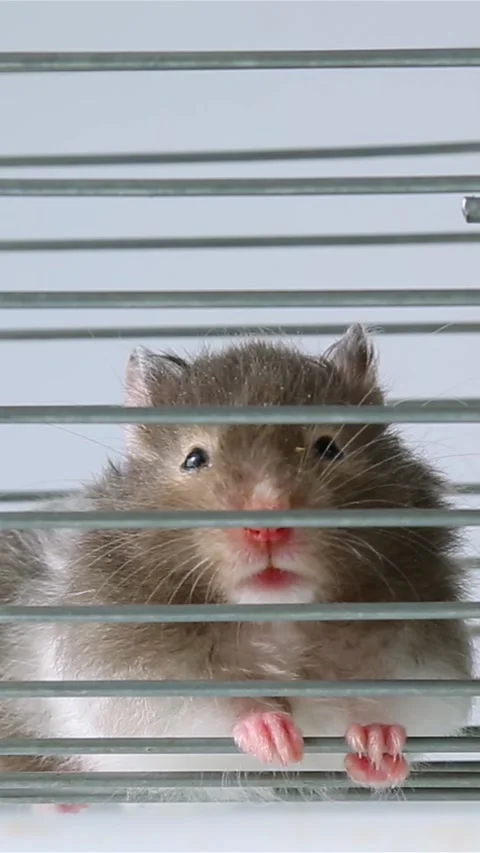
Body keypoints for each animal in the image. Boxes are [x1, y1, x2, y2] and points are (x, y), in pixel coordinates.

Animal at [0, 325, 473, 804]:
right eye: (194, 458)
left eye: (329, 448)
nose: (268, 527)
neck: (279, 619)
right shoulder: (127, 683)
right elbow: (218, 707)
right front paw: (280, 743)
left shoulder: (426, 666)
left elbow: (385, 708)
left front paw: (377, 746)